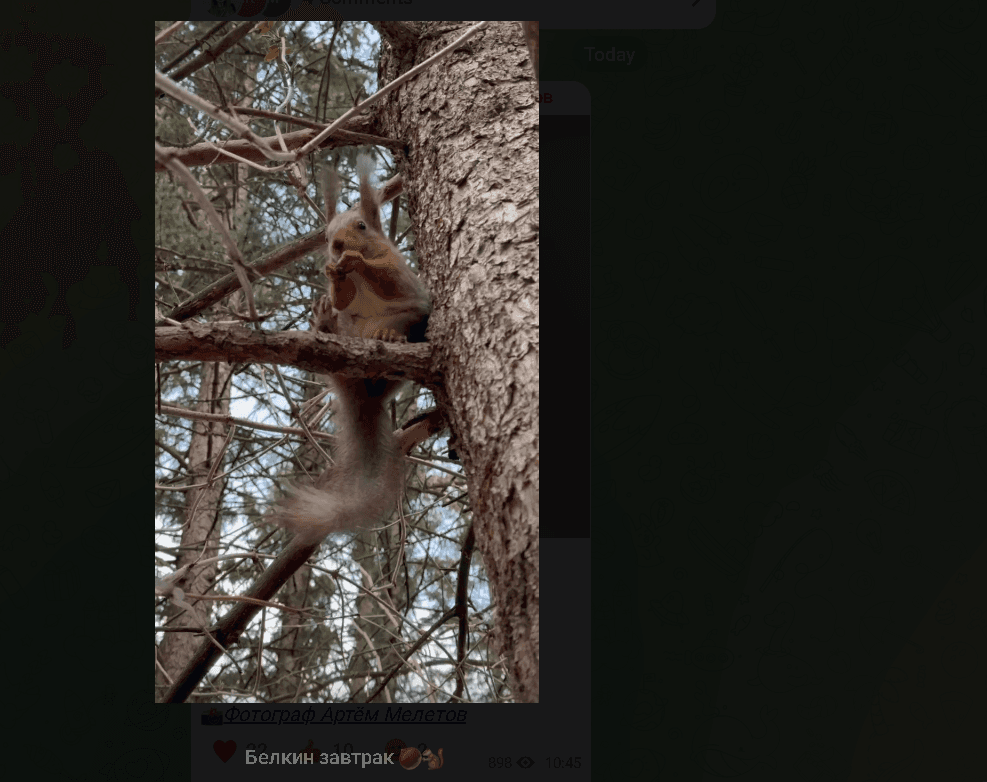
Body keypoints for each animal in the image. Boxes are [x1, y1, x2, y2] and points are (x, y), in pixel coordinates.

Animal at [278, 155, 432, 544]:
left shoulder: (398, 271)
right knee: (340, 330)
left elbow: (388, 279)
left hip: (409, 323)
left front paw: (356, 262)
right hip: (347, 337)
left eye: (361, 225)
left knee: (396, 336)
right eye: (326, 233)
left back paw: (389, 338)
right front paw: (333, 276)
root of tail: (361, 393)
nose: (335, 245)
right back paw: (325, 324)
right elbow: (342, 298)